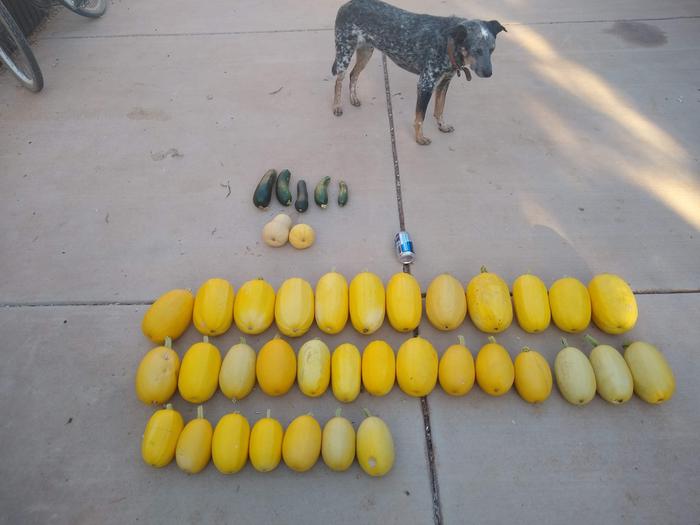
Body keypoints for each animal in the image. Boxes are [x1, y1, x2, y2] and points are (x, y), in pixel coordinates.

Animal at [330, 0, 506, 144]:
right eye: (476, 50)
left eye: (492, 49)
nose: (489, 73)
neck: (447, 42)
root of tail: (347, 4)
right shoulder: (425, 84)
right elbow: (420, 117)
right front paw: (419, 138)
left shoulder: (444, 82)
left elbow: (439, 109)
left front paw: (442, 126)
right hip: (344, 52)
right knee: (339, 80)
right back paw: (337, 106)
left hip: (366, 52)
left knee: (353, 75)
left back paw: (353, 98)